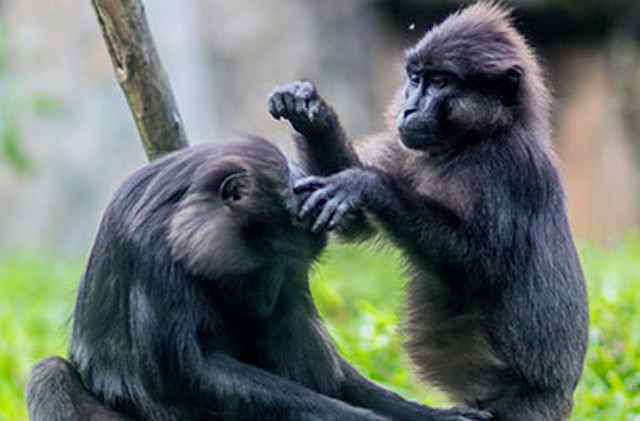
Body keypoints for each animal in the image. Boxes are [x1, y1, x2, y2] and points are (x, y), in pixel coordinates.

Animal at [22, 135, 490, 420]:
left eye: (290, 264)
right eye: (268, 255)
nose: (267, 295)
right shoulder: (153, 247)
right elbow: (188, 372)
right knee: (50, 374)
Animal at [268, 3, 592, 420]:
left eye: (439, 81)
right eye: (415, 78)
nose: (409, 108)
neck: (469, 143)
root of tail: (561, 393)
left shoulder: (510, 166)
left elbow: (476, 268)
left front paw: (366, 184)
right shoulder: (408, 149)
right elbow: (352, 222)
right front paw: (311, 113)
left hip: (527, 406)